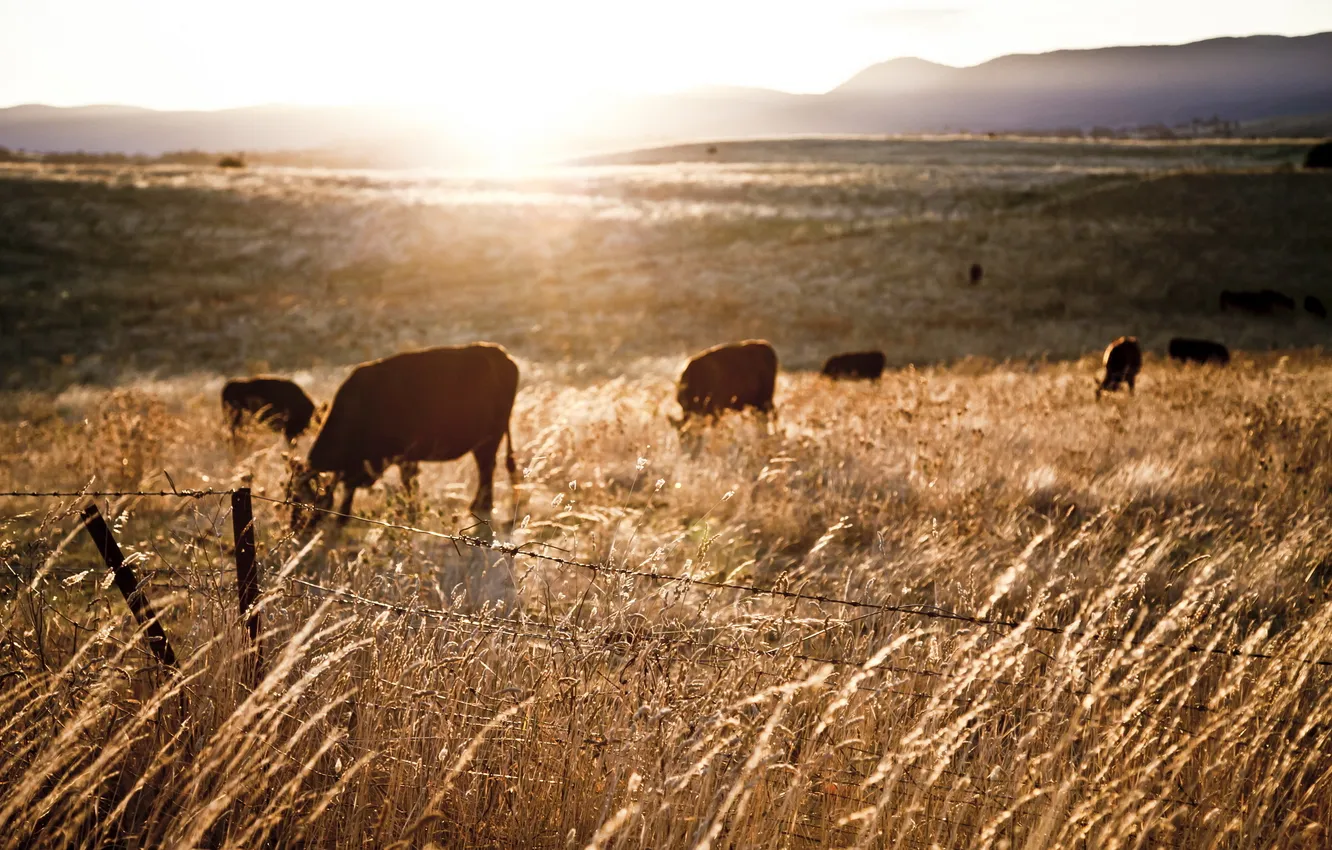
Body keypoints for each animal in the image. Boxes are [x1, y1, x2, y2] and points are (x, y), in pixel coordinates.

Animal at [289, 343, 516, 527]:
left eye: (301, 498)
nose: (295, 526)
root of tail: (500, 353)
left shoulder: (404, 456)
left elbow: (407, 485)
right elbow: (349, 487)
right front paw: (342, 518)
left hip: (488, 441)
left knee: (486, 470)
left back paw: (480, 507)